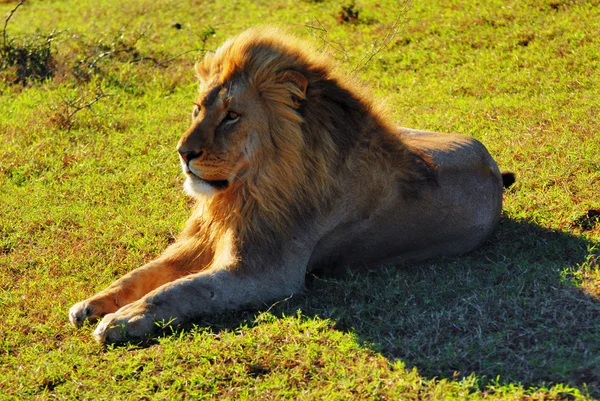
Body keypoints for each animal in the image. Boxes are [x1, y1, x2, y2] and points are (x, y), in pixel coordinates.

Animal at [69, 26, 510, 342]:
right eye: (197, 110)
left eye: (231, 116)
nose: (183, 153)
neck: (242, 193)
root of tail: (491, 162)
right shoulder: (199, 242)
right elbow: (141, 274)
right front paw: (91, 304)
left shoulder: (264, 273)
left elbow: (181, 290)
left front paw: (122, 320)